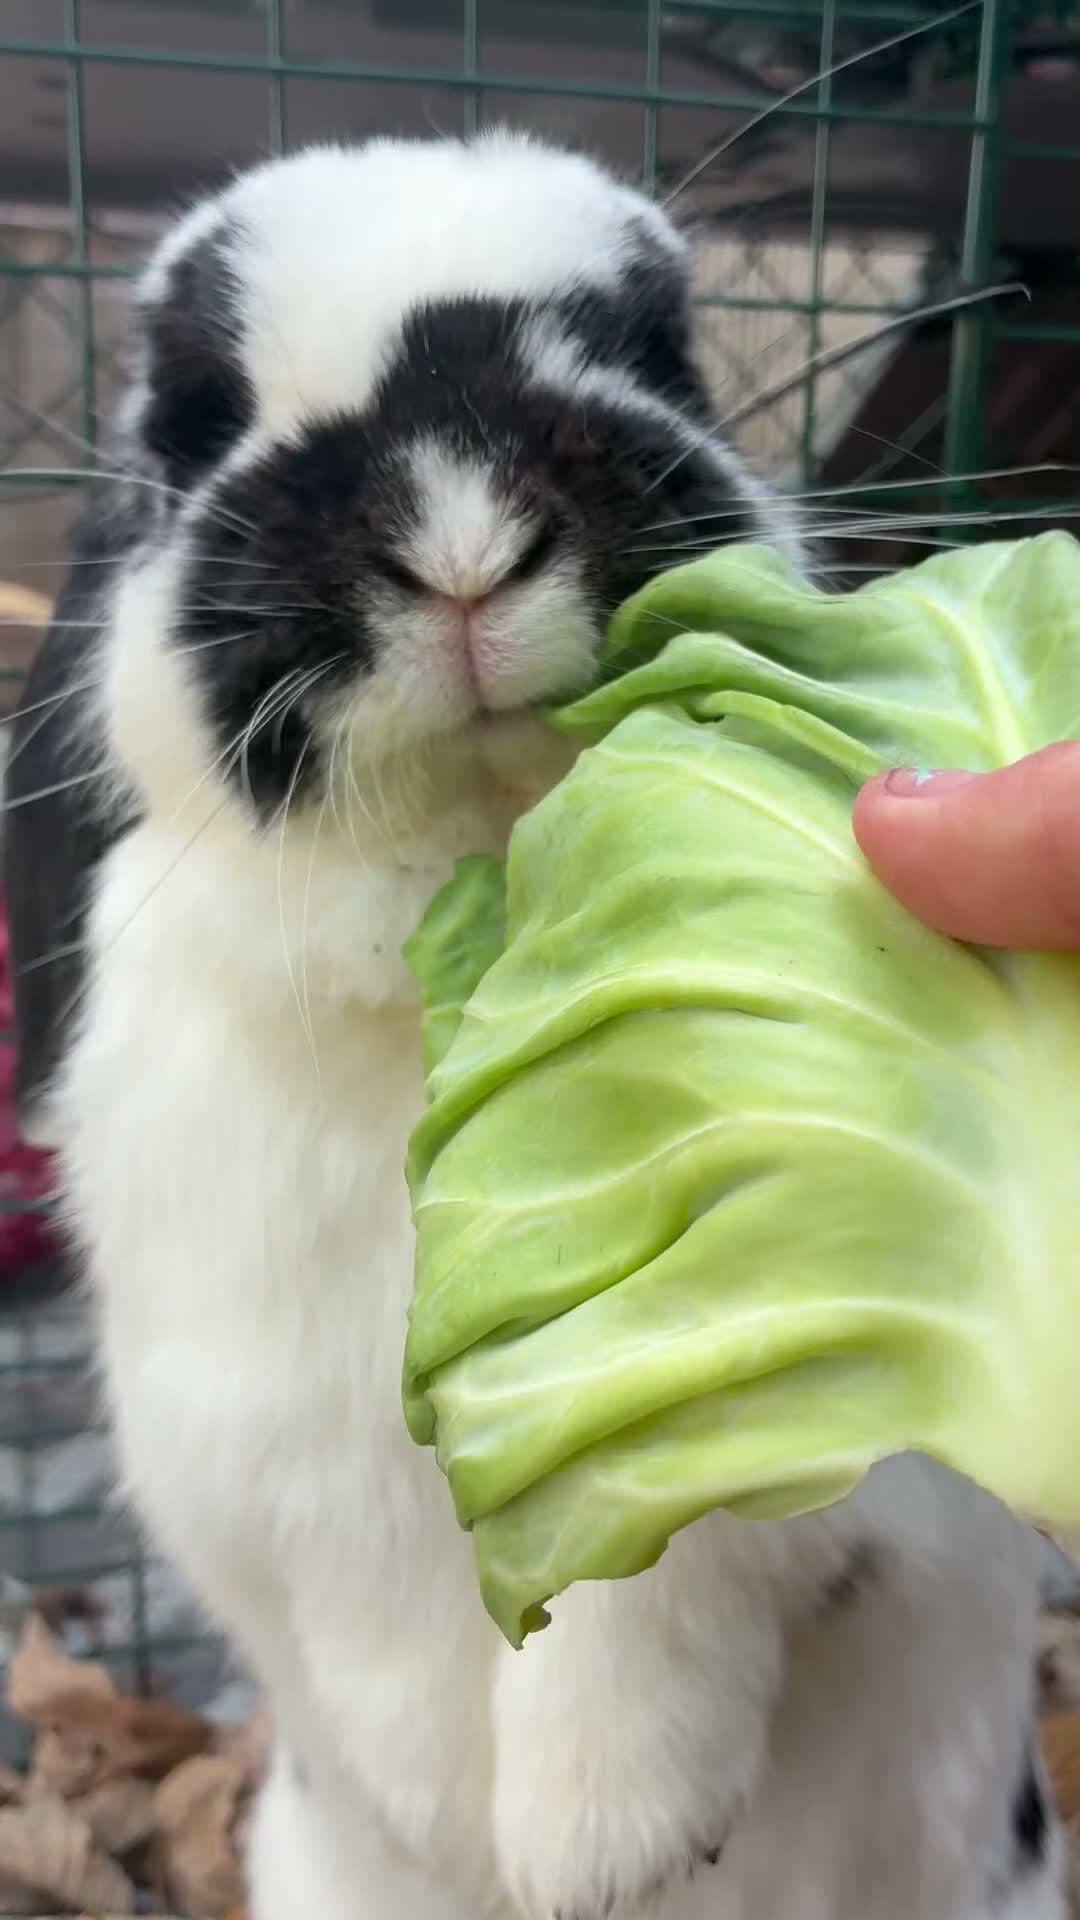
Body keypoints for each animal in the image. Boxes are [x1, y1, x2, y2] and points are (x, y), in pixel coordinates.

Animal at [3, 133, 1063, 1920]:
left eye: (654, 350)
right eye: (198, 420)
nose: (461, 541)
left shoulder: (752, 1384)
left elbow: (647, 1561)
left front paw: (600, 1851)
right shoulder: (269, 1455)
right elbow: (370, 1642)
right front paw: (455, 1830)